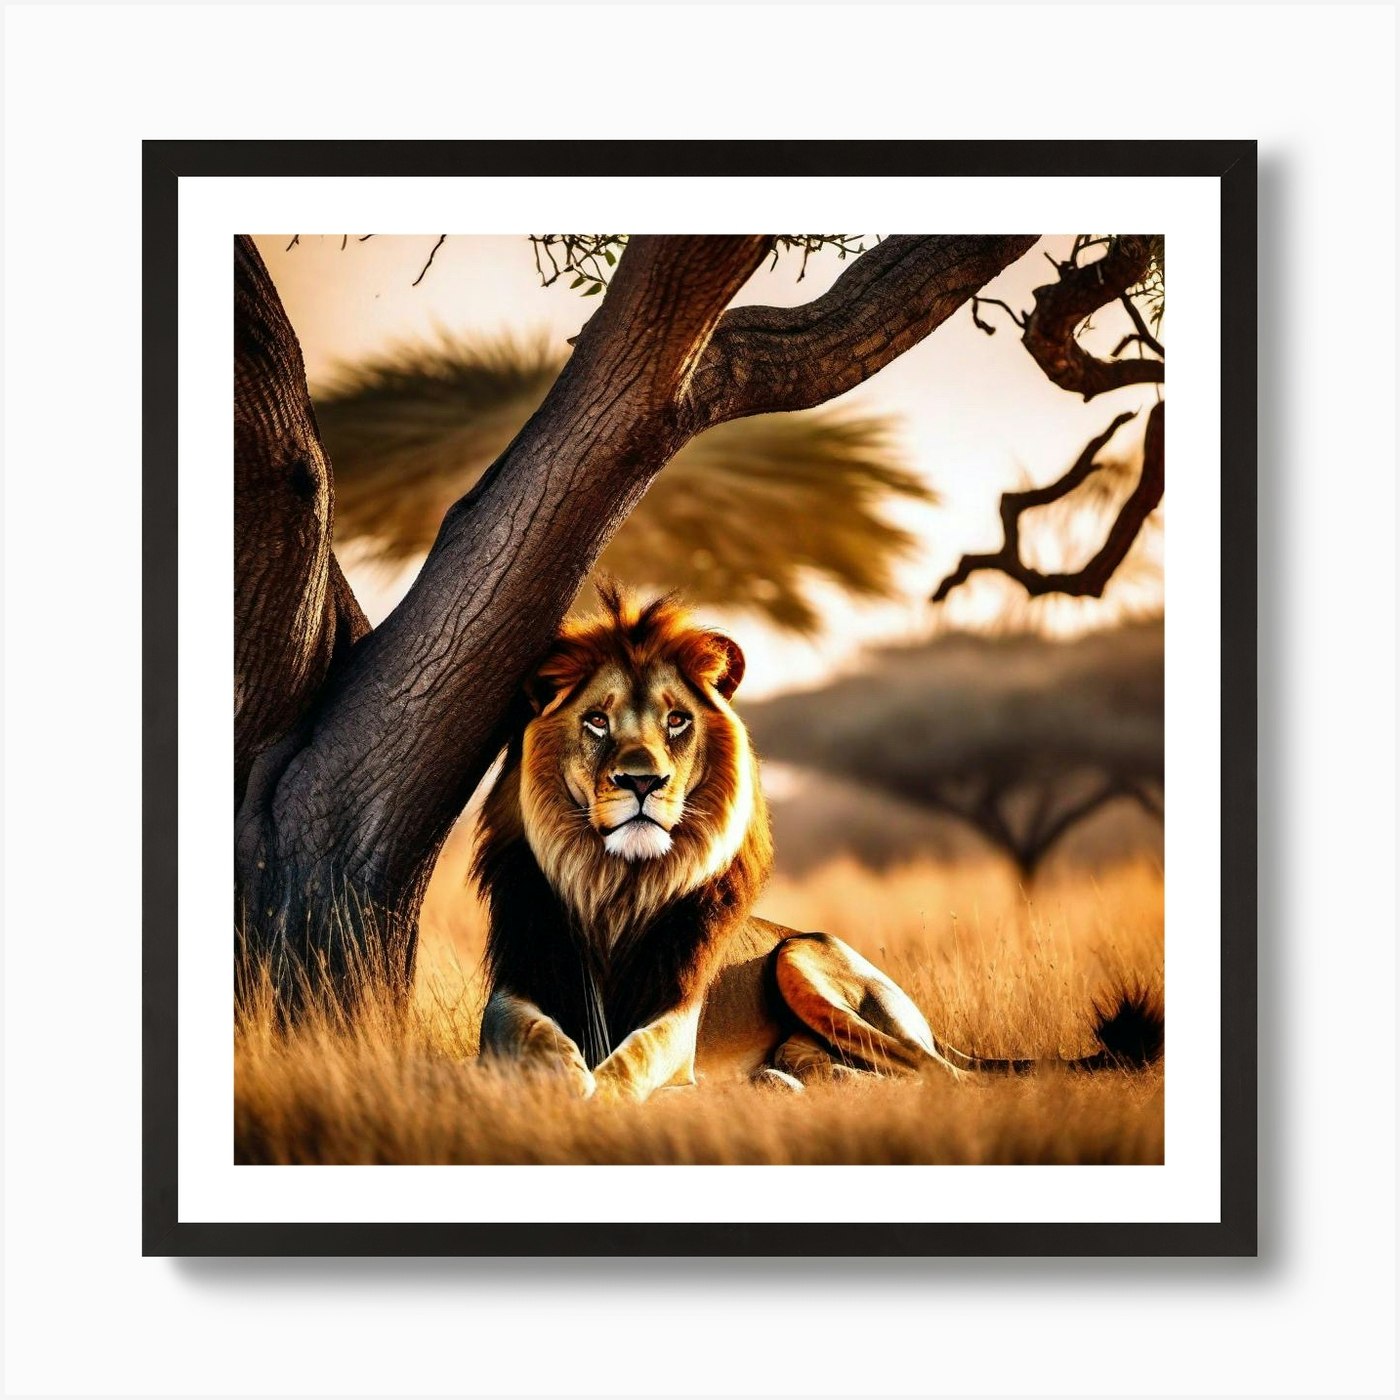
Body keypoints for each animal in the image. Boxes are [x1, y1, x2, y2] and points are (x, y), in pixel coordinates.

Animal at [474, 585, 1162, 1101]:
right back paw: (783, 1080)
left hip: (799, 957)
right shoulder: (513, 992)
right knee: (859, 1071)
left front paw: (603, 1094)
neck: (614, 886)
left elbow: (637, 1055)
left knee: (942, 1074)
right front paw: (563, 1081)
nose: (644, 781)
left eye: (677, 721)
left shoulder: (675, 1014)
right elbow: (536, 1040)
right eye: (596, 720)